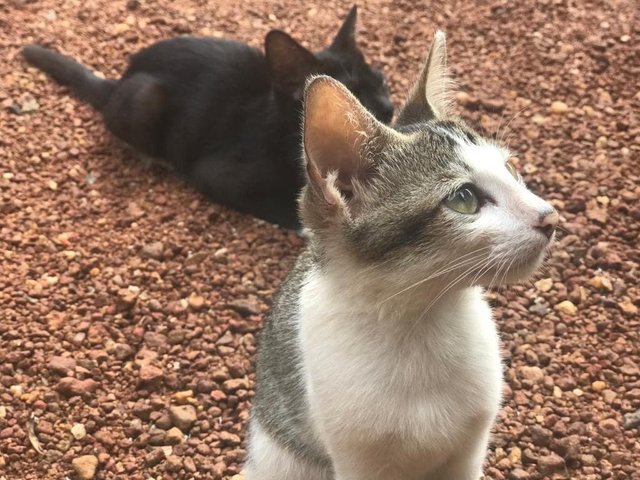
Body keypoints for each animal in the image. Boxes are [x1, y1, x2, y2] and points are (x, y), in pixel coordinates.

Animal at [22, 5, 392, 227]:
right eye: (356, 97)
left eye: (382, 82)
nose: (388, 109)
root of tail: (122, 77)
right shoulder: (215, 174)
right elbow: (286, 207)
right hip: (144, 99)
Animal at [248, 31, 556, 478]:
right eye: (463, 199)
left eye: (512, 170)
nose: (549, 217)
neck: (419, 322)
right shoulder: (357, 460)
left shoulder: (469, 449)